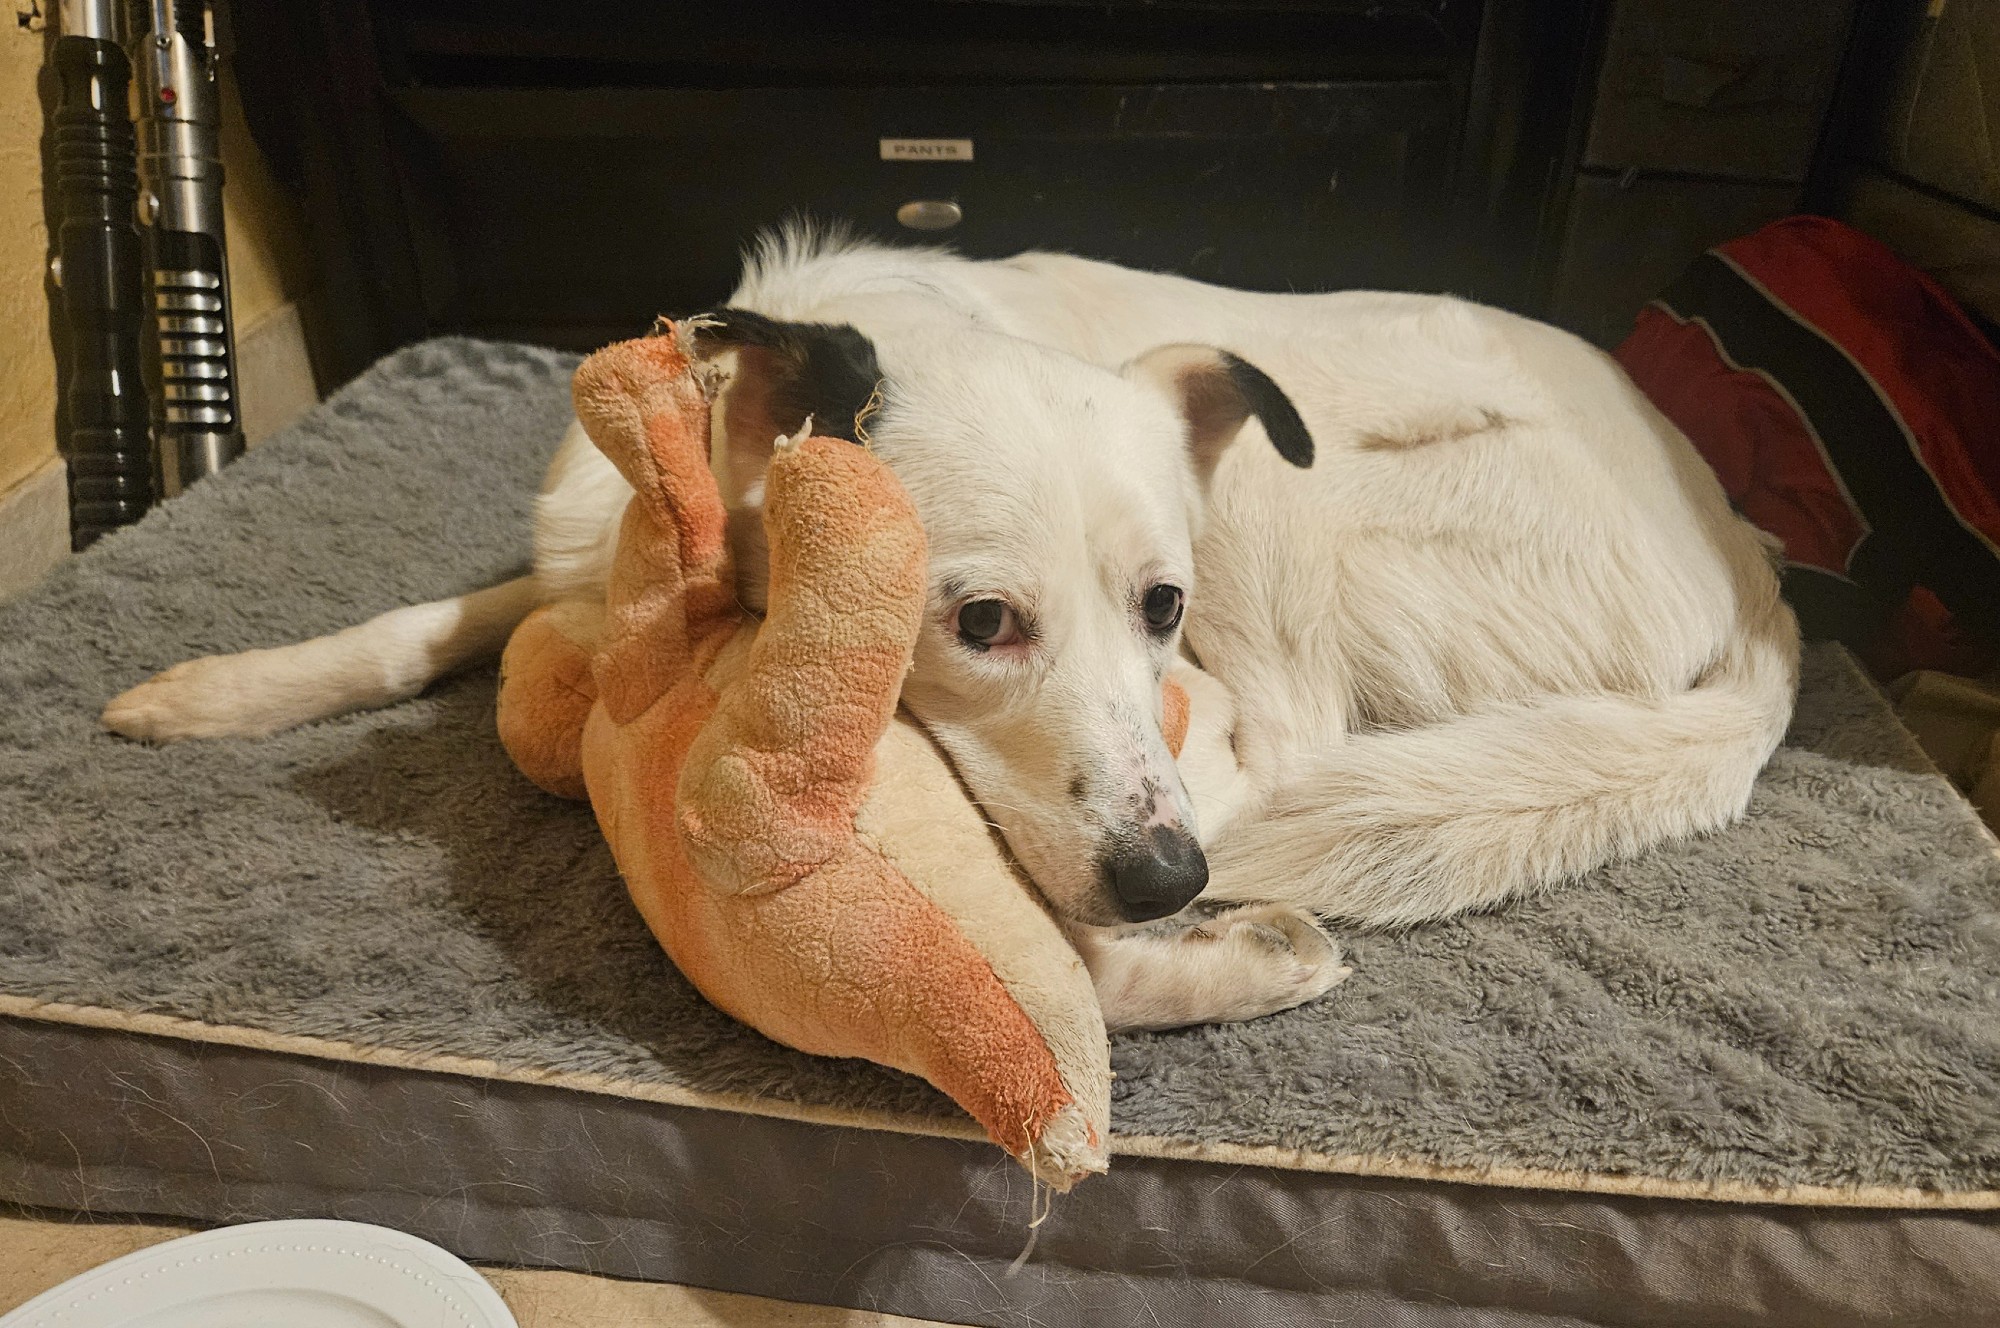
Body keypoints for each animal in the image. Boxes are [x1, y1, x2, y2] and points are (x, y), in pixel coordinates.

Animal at [102, 224, 1801, 1032]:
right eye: (979, 619)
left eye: (1160, 607)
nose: (1168, 881)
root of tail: (1756, 566)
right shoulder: (579, 563)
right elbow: (420, 622)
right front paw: (208, 696)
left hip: (1285, 504)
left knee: (1286, 742)